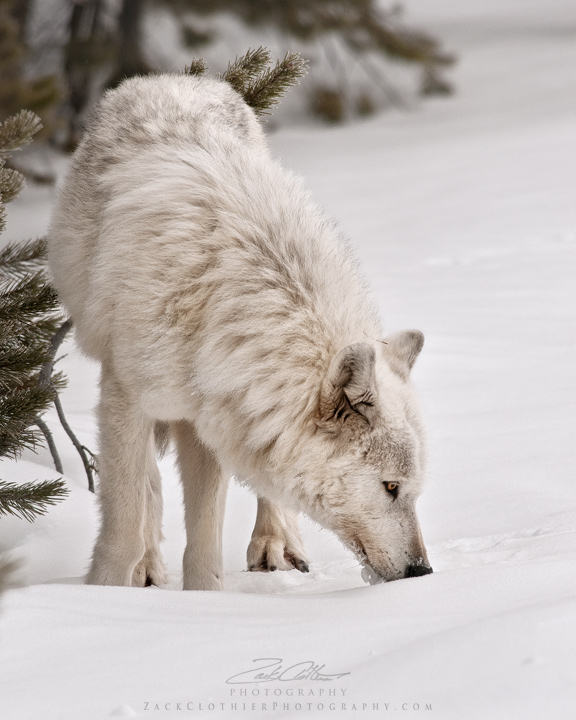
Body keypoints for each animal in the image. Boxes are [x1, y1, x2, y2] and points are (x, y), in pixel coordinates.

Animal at [47, 73, 433, 590]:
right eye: (391, 487)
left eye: (411, 490)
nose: (422, 571)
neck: (222, 295)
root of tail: (177, 78)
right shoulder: (128, 395)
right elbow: (127, 517)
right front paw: (105, 592)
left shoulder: (209, 413)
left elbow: (205, 539)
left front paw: (206, 599)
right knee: (147, 483)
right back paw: (148, 564)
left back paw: (276, 544)